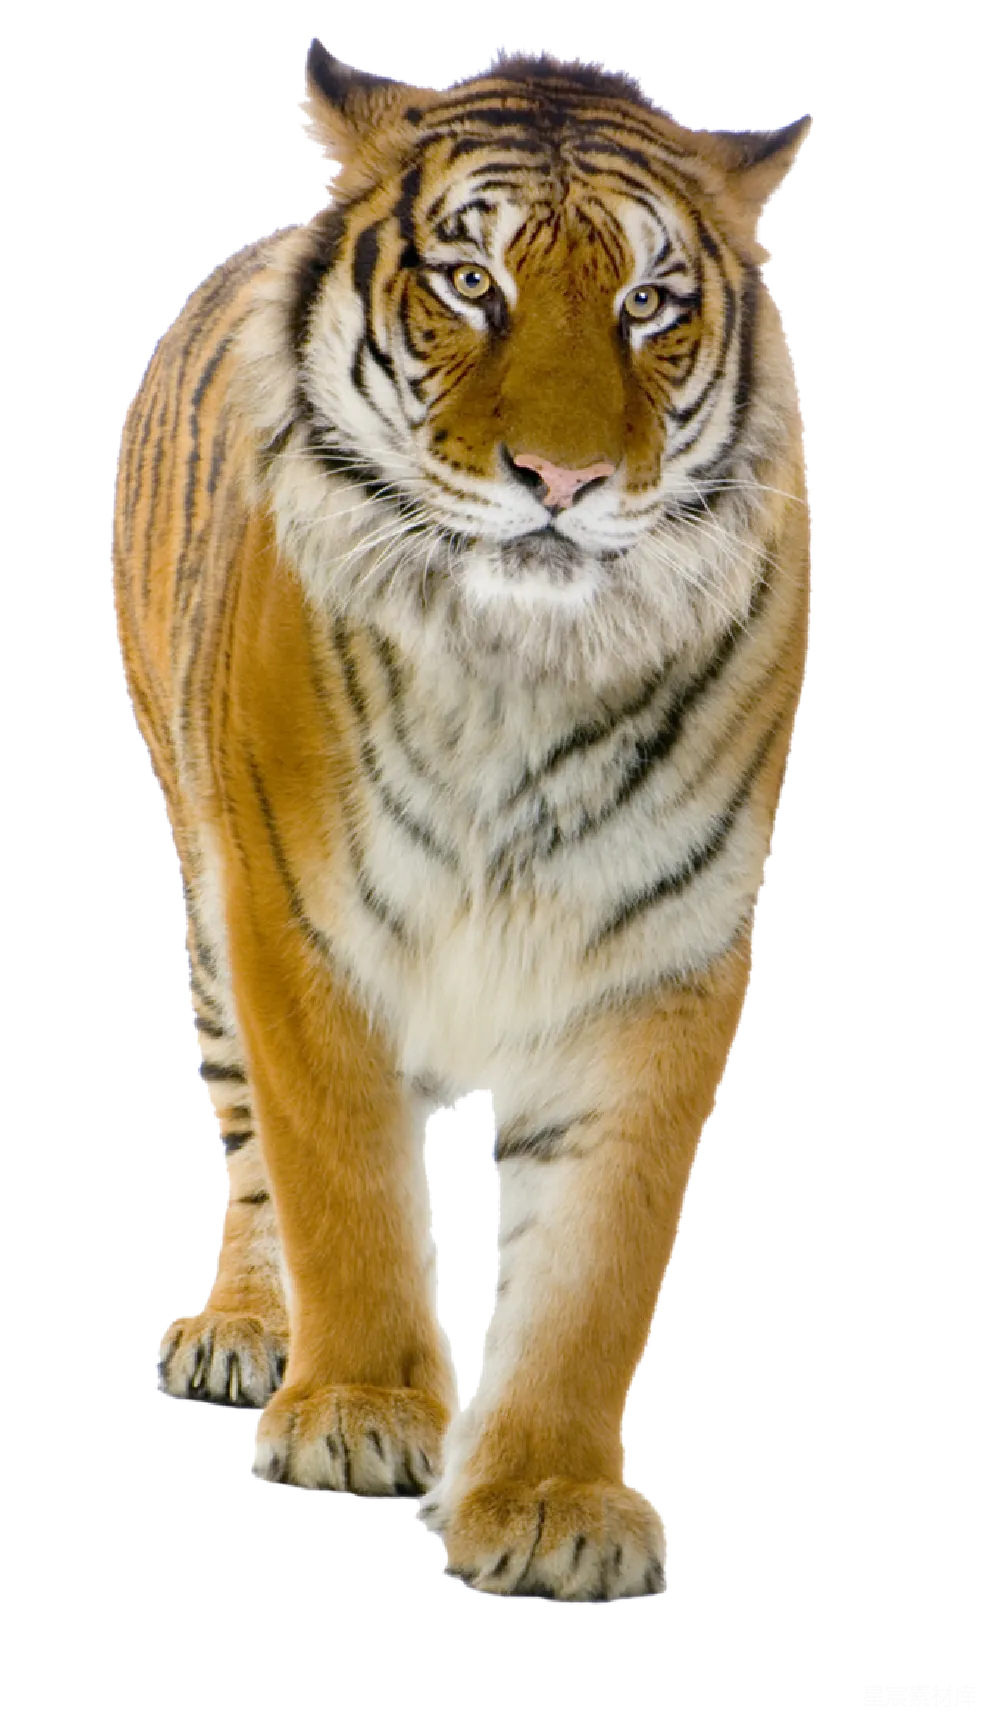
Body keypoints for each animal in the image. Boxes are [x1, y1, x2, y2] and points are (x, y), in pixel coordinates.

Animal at [114, 40, 813, 1600]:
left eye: (648, 303)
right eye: (471, 283)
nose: (562, 481)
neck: (519, 665)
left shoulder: (659, 952)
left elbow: (594, 1263)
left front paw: (551, 1496)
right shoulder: (297, 920)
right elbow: (342, 1189)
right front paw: (361, 1413)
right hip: (203, 904)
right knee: (249, 1154)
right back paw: (245, 1330)